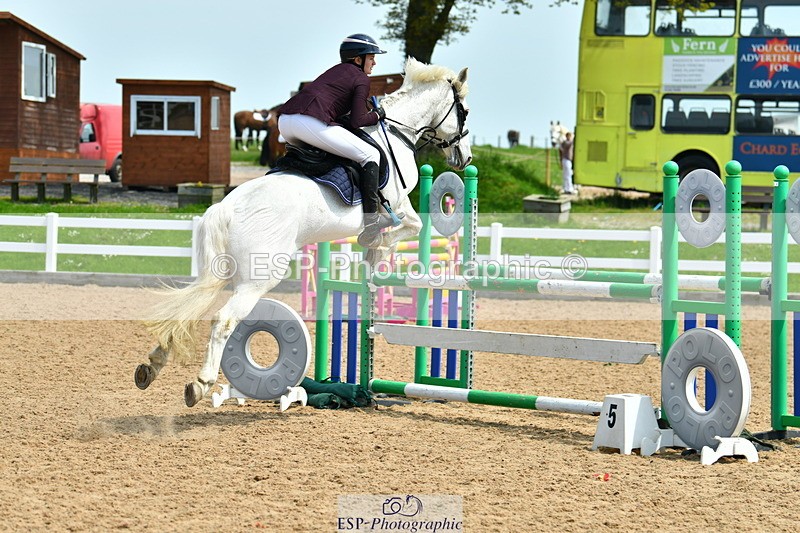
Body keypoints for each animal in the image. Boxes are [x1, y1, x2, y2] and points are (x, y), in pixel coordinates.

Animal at [134, 57, 472, 407]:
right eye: (463, 111)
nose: (466, 158)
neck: (396, 132)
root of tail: (226, 208)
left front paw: (373, 254)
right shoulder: (398, 204)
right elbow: (407, 227)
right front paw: (375, 246)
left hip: (221, 271)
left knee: (191, 305)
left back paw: (152, 364)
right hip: (259, 277)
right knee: (223, 319)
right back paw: (200, 383)